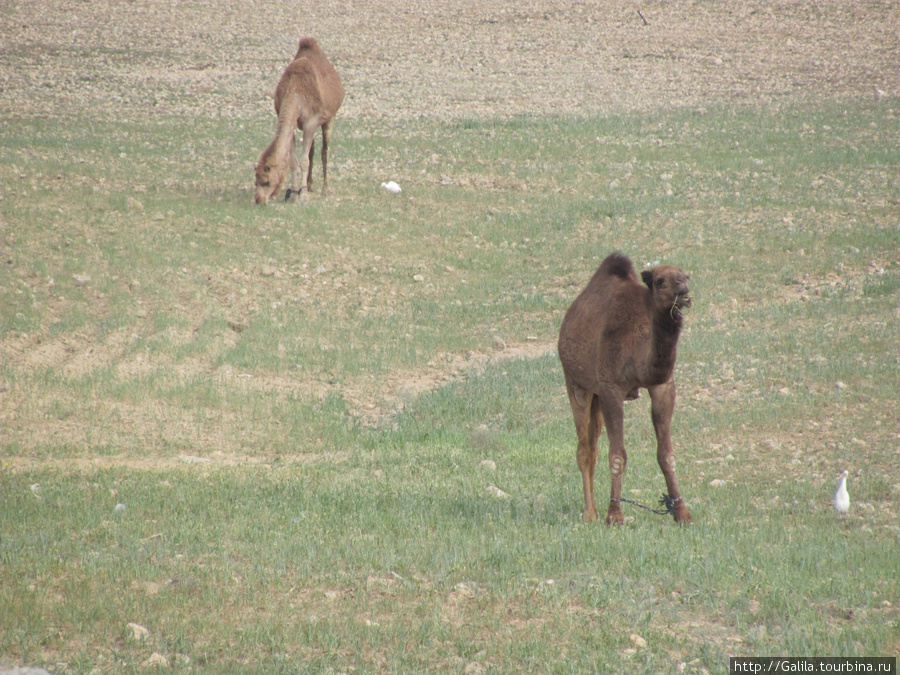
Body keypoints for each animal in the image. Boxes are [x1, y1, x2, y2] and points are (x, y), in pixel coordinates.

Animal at [256, 37, 348, 205]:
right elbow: (293, 160)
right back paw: (310, 185)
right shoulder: (293, 123)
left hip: (330, 117)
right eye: (256, 180)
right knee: (312, 150)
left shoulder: (310, 121)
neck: (295, 93)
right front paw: (293, 194)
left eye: (267, 181)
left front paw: (303, 195)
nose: (258, 200)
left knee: (324, 150)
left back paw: (325, 189)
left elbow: (304, 161)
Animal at [556, 251, 696, 524]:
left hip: (595, 395)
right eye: (660, 281)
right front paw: (614, 516)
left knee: (593, 446)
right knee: (584, 450)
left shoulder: (662, 386)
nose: (683, 291)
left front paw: (682, 513)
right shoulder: (611, 389)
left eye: (684, 276)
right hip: (576, 384)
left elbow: (667, 455)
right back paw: (590, 514)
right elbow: (617, 456)